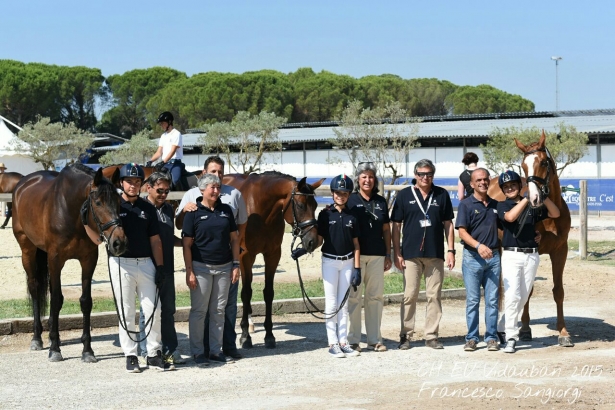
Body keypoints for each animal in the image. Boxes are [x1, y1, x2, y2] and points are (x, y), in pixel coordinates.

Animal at [13, 163, 127, 362]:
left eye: (118, 201)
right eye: (98, 203)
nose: (118, 242)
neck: (70, 211)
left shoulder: (88, 260)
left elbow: (85, 302)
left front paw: (87, 350)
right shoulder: (55, 260)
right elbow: (56, 300)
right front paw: (55, 349)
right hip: (27, 251)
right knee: (34, 288)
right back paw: (37, 338)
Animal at [223, 171, 328, 348]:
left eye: (315, 205)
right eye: (300, 205)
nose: (315, 241)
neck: (261, 211)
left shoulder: (273, 255)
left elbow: (269, 293)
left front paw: (269, 335)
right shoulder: (246, 256)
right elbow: (246, 293)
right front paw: (245, 336)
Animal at [488, 131, 576, 346]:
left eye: (544, 162)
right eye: (524, 165)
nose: (534, 198)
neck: (548, 215)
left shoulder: (560, 251)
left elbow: (558, 291)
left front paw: (563, 333)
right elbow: (527, 292)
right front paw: (525, 330)